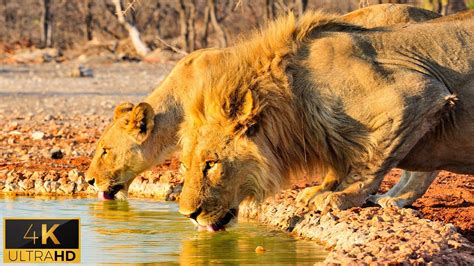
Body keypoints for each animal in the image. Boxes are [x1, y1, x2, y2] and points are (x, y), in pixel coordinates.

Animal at [179, 11, 474, 229]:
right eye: (184, 164)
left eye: (211, 164)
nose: (187, 214)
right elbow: (343, 162)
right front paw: (319, 190)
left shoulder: (415, 94)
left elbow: (370, 160)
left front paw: (342, 196)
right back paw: (394, 199)